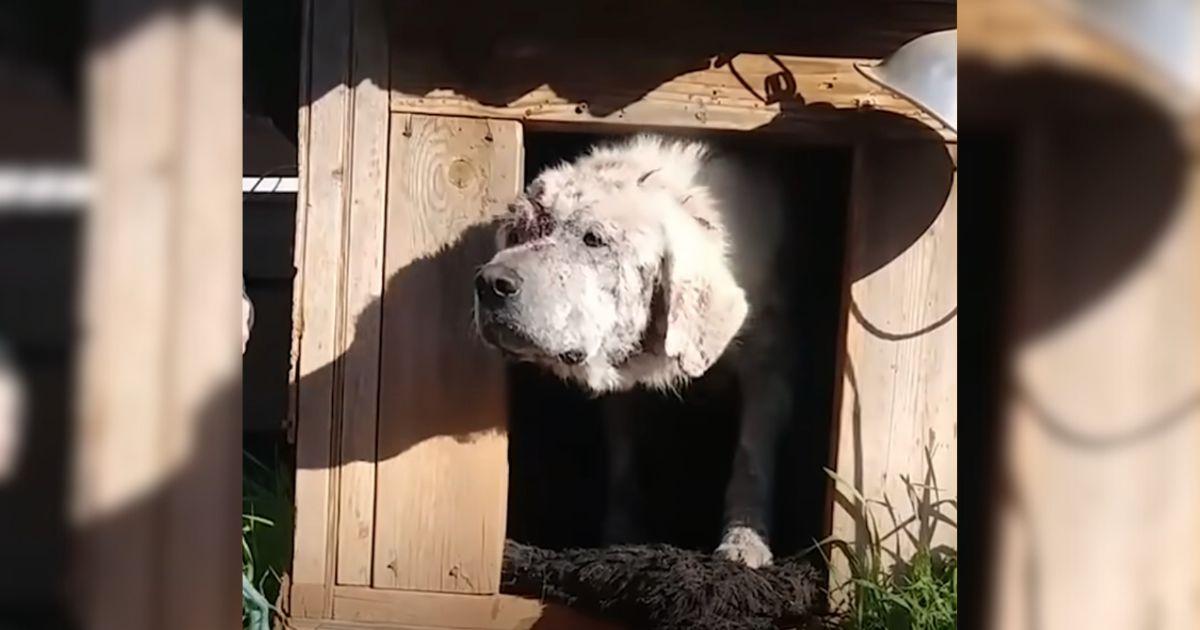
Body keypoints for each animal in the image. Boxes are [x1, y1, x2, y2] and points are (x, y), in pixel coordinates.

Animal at [475, 135, 796, 566]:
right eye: (521, 232)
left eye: (594, 238)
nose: (490, 282)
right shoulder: (622, 396)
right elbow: (625, 461)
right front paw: (621, 536)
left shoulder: (770, 369)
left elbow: (750, 458)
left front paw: (744, 545)